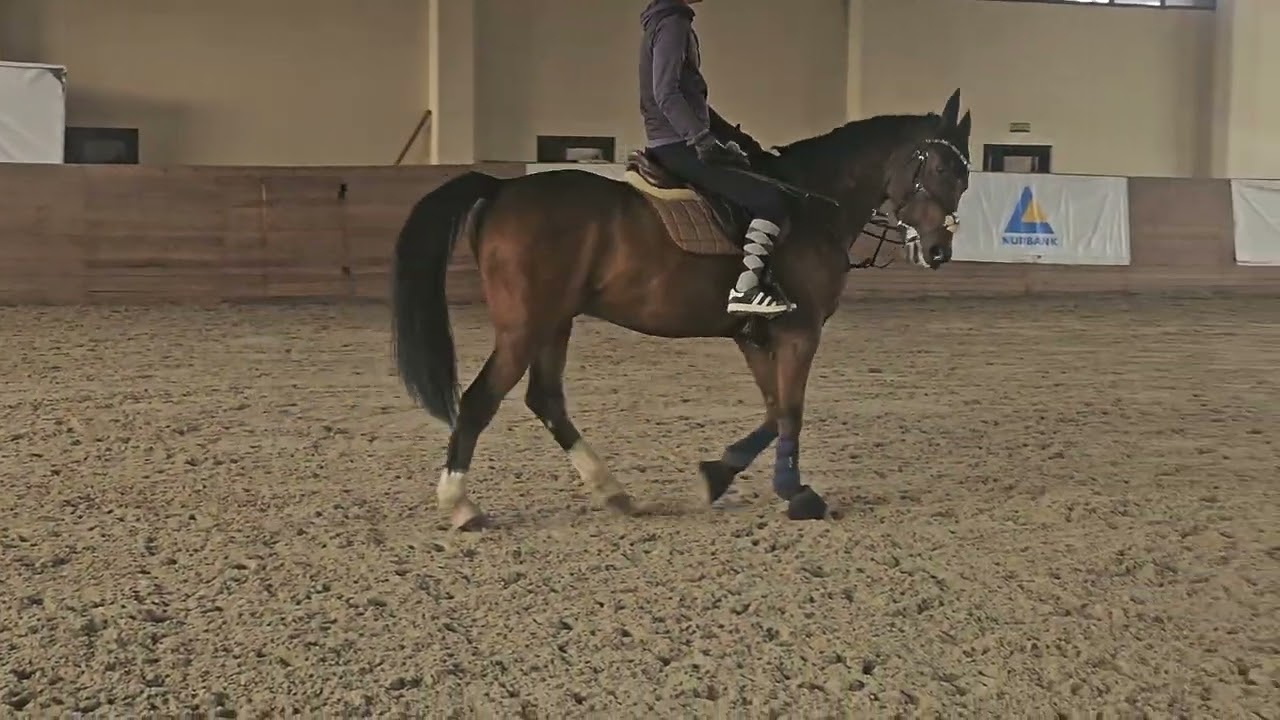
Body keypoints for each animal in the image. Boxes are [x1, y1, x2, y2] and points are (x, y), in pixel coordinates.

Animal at [391, 88, 973, 530]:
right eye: (942, 167)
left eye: (966, 176)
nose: (939, 251)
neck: (812, 203)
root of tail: (502, 187)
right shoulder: (799, 330)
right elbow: (790, 410)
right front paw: (795, 493)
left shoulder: (755, 334)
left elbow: (772, 409)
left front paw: (720, 473)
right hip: (525, 325)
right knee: (479, 400)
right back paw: (461, 505)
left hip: (554, 323)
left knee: (546, 400)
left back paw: (612, 491)